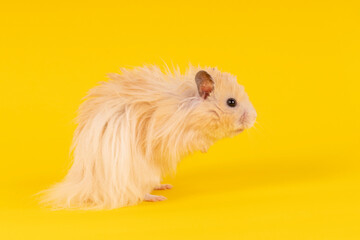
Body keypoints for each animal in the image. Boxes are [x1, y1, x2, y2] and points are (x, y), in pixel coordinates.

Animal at [40, 64, 258, 209]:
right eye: (231, 102)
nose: (254, 118)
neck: (189, 107)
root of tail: (87, 186)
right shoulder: (170, 135)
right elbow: (197, 140)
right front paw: (205, 147)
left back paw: (163, 186)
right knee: (136, 192)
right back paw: (157, 197)